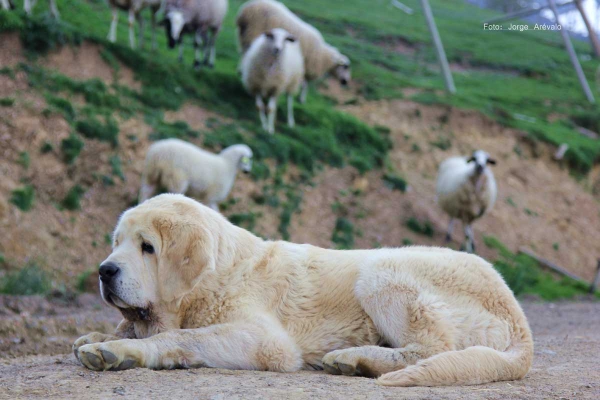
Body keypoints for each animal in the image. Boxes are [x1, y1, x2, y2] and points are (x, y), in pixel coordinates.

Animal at [72, 194, 532, 388]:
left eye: (147, 247)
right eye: (116, 242)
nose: (105, 271)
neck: (218, 276)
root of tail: (517, 314)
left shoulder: (265, 341)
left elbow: (180, 337)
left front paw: (118, 350)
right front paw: (102, 335)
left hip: (381, 271)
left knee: (433, 348)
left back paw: (353, 358)